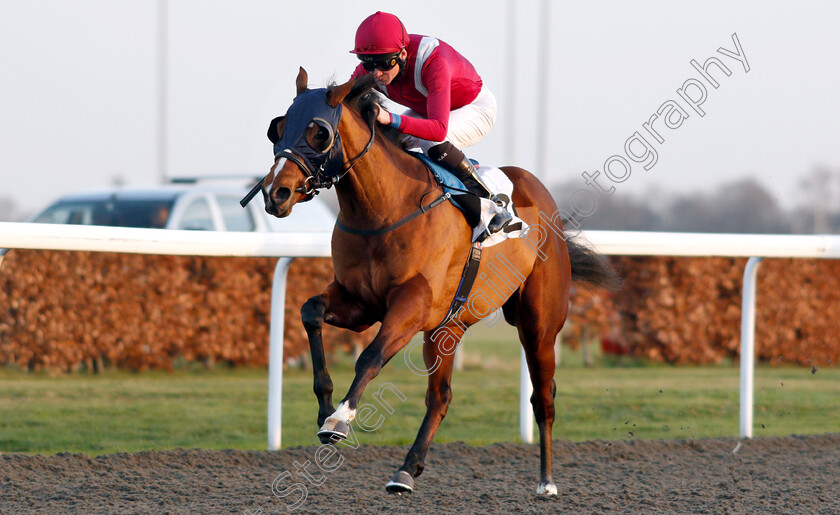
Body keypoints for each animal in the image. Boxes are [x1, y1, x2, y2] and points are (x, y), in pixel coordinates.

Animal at [260, 68, 620, 496]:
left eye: (319, 132)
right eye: (279, 128)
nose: (275, 193)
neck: (383, 210)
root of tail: (539, 192)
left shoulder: (412, 304)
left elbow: (370, 355)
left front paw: (340, 419)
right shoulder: (359, 302)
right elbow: (310, 312)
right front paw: (325, 406)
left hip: (538, 325)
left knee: (543, 396)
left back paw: (546, 482)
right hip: (447, 327)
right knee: (440, 397)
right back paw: (405, 470)